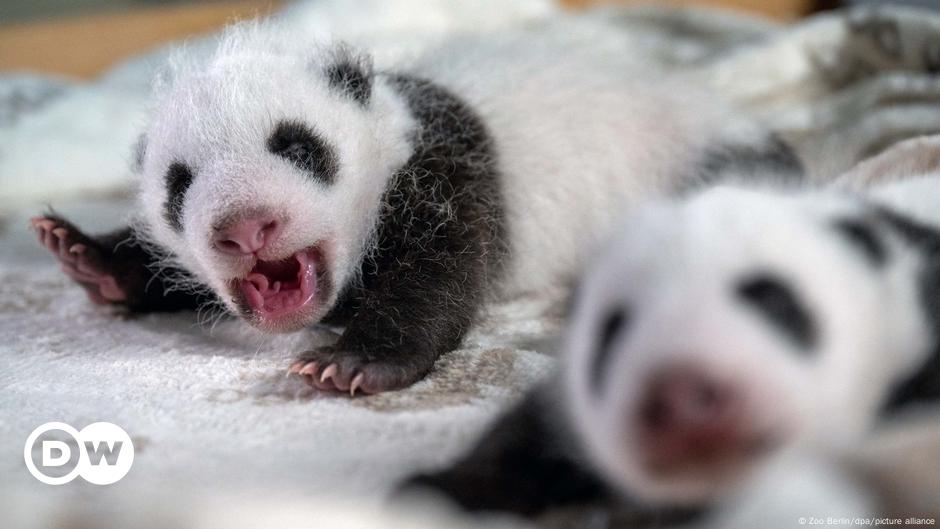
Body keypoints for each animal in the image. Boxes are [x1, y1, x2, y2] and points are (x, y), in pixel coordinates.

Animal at [29, 21, 796, 392]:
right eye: (178, 183)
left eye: (298, 146)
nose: (246, 229)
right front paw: (87, 255)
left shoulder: (444, 167)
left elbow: (440, 270)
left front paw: (355, 362)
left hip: (689, 156)